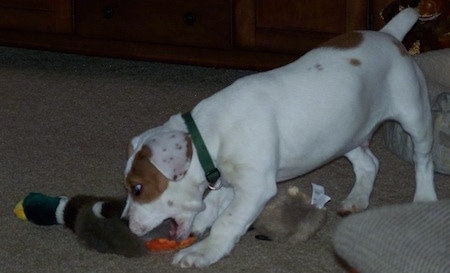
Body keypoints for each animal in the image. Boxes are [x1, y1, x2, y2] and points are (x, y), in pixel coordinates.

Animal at [122, 7, 436, 266]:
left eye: (137, 188)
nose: (124, 223)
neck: (210, 135)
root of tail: (389, 35)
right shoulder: (232, 179)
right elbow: (212, 204)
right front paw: (201, 225)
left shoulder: (256, 186)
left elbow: (228, 220)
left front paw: (203, 251)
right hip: (344, 135)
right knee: (369, 163)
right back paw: (357, 199)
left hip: (414, 116)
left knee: (423, 161)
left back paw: (424, 198)